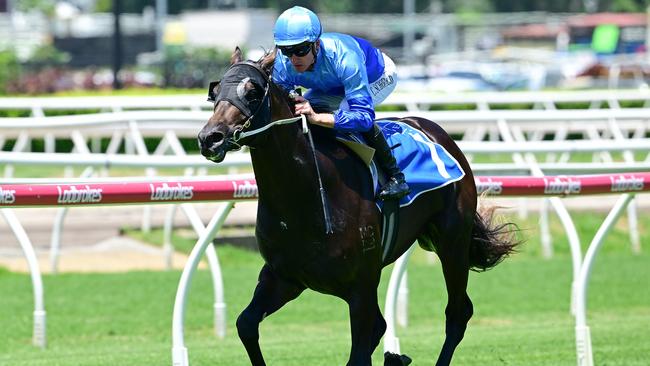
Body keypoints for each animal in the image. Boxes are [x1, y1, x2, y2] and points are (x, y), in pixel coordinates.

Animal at [197, 47, 516, 364]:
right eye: (215, 91)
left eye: (252, 91)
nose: (209, 138)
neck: (304, 198)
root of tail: (437, 131)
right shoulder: (284, 276)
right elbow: (246, 324)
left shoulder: (361, 286)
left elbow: (363, 346)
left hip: (452, 242)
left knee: (457, 313)